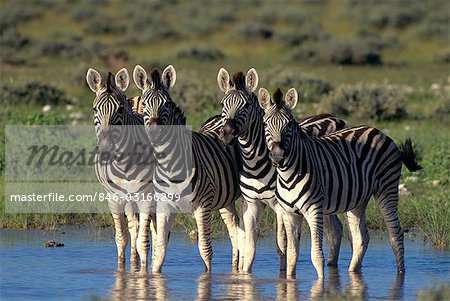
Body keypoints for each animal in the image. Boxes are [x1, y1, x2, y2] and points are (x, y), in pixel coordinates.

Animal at [85, 68, 156, 270]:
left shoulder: (147, 198)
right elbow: (122, 238)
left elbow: (143, 242)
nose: (105, 151)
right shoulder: (114, 198)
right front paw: (122, 270)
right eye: (95, 109)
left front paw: (144, 273)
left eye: (120, 109)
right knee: (133, 227)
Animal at [133, 63, 243, 272]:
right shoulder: (165, 206)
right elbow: (160, 250)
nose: (154, 132)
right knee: (235, 230)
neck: (170, 165)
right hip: (226, 199)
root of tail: (220, 116)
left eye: (166, 105)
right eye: (144, 104)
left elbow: (205, 249)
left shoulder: (202, 206)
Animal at [218, 67, 348, 272]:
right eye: (223, 104)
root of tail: (335, 117)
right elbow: (249, 245)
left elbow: (281, 245)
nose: (228, 134)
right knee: (334, 229)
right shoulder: (250, 202)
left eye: (246, 105)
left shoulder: (280, 205)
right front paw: (244, 275)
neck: (254, 162)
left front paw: (282, 274)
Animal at [256, 86, 422, 276]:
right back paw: (352, 273)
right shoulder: (289, 213)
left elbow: (316, 255)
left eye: (289, 125)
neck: (288, 173)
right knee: (360, 237)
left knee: (395, 235)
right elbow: (291, 254)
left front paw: (320, 283)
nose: (278, 157)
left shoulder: (314, 209)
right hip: (358, 198)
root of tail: (379, 132)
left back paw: (401, 275)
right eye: (265, 124)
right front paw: (289, 281)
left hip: (387, 188)